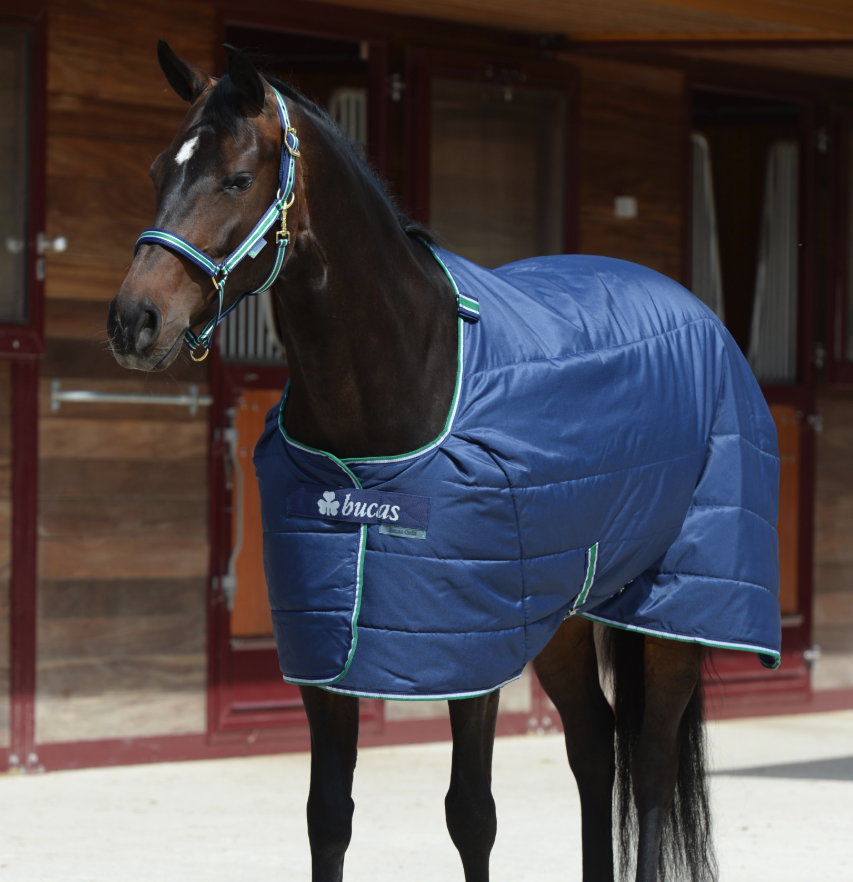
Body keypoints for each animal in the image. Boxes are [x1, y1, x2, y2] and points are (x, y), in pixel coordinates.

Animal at [107, 41, 781, 882]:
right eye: (157, 171)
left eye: (236, 177)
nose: (134, 321)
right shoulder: (329, 647)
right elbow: (326, 817)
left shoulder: (469, 648)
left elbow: (471, 816)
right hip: (560, 614)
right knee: (595, 745)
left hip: (680, 608)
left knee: (651, 758)